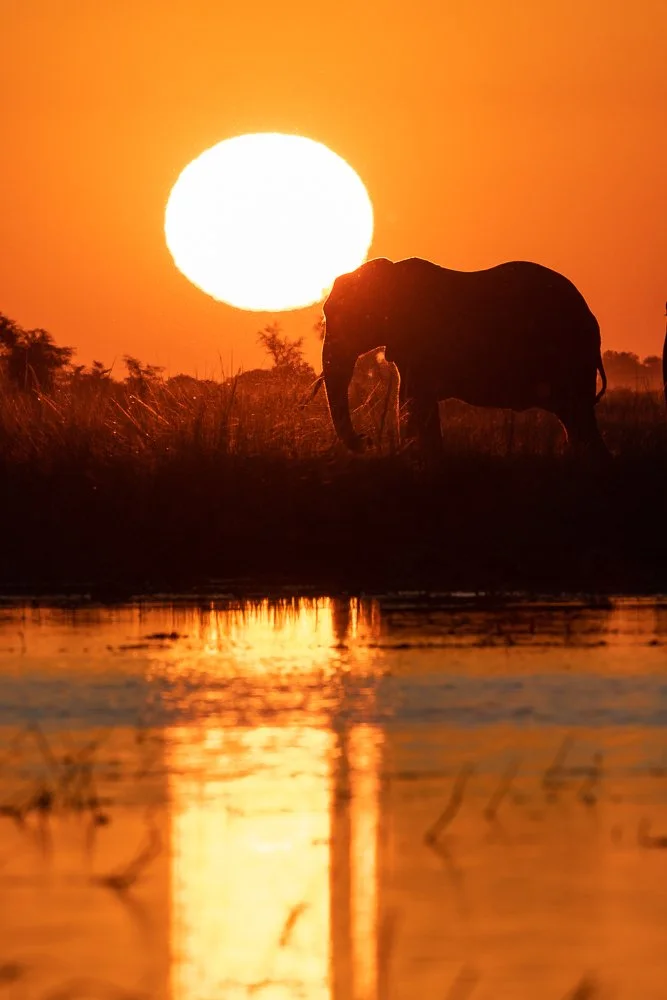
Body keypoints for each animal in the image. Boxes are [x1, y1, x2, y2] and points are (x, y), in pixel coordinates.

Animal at [320, 256, 609, 456]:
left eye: (350, 318)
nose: (365, 439)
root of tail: (592, 317)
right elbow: (410, 401)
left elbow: (414, 400)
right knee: (576, 419)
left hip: (571, 354)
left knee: (578, 415)